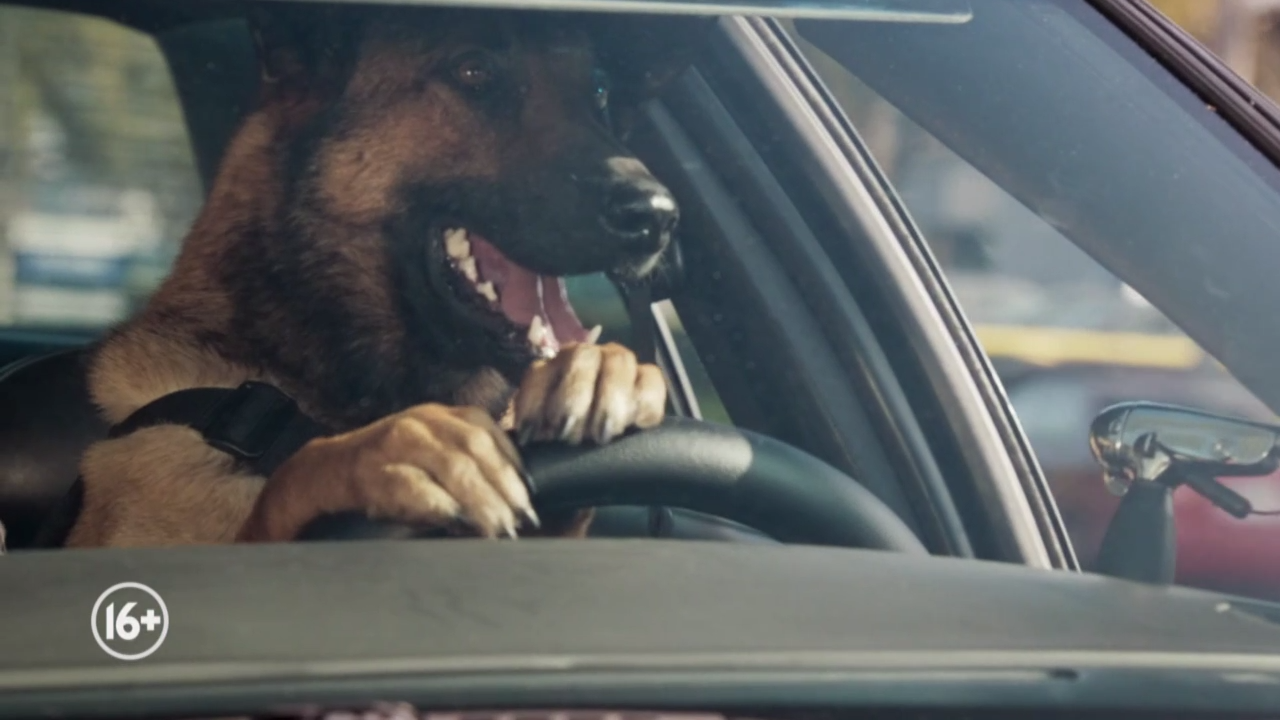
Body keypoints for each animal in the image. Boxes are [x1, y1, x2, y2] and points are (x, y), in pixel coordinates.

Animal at [58, 4, 701, 547]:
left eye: (599, 92)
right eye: (473, 71)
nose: (658, 217)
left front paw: (602, 367)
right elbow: (288, 486)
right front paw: (390, 450)